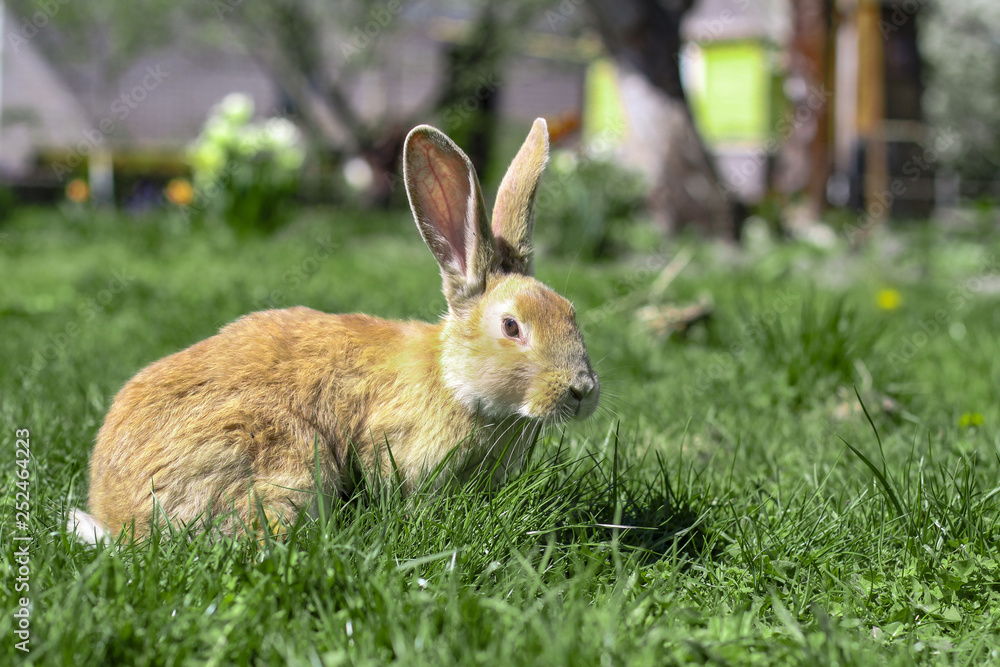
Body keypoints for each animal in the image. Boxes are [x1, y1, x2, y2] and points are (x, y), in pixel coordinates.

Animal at [68, 118, 599, 544]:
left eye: (570, 312)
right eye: (511, 327)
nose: (582, 391)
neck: (452, 379)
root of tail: (115, 519)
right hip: (286, 461)